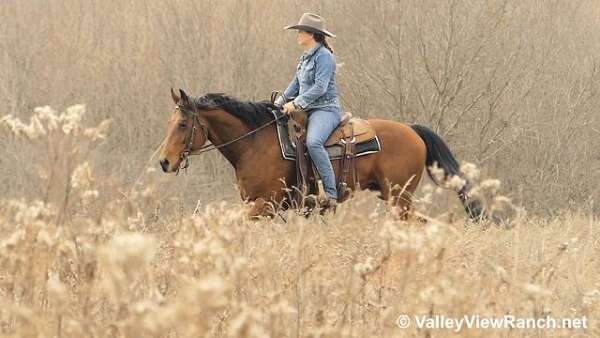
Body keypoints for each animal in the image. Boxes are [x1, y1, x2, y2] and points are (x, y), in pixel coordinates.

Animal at [158, 90, 482, 222]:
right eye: (169, 121)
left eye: (183, 124)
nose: (164, 161)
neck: (254, 143)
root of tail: (412, 130)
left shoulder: (266, 204)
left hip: (399, 199)